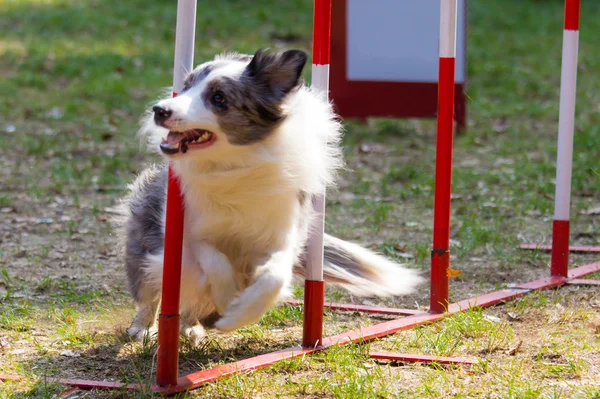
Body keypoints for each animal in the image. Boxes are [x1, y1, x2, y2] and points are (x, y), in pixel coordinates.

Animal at [120, 49, 422, 344]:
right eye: (185, 86)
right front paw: (227, 300)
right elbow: (216, 262)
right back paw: (144, 327)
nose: (159, 110)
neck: (234, 165)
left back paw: (191, 326)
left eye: (219, 98)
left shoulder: (283, 235)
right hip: (146, 241)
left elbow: (273, 277)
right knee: (153, 287)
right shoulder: (190, 232)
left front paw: (237, 314)